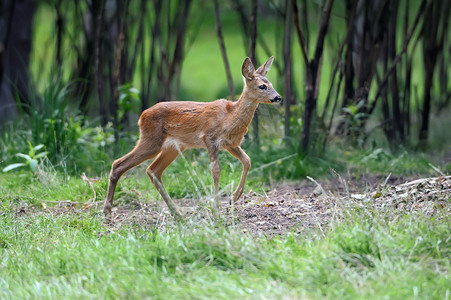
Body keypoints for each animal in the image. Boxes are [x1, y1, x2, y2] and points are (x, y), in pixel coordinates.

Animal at [103, 56, 280, 218]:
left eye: (271, 84)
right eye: (262, 86)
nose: (278, 97)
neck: (230, 118)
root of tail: (141, 116)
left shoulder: (231, 144)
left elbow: (247, 160)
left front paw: (233, 198)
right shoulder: (210, 138)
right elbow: (216, 170)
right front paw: (216, 210)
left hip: (173, 147)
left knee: (153, 170)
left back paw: (177, 213)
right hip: (151, 140)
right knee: (118, 164)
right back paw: (106, 211)